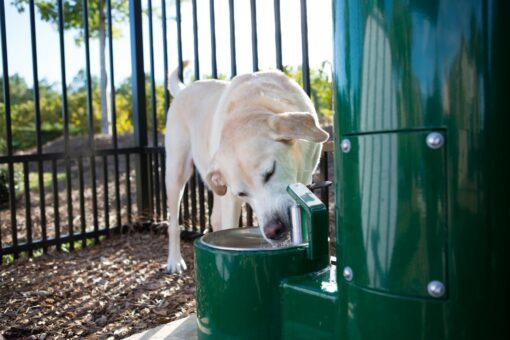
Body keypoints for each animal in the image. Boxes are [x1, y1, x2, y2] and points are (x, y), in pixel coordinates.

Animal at [165, 61, 328, 274]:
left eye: (270, 172)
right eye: (242, 193)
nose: (274, 230)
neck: (254, 105)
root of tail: (185, 89)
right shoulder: (231, 199)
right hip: (177, 172)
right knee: (173, 223)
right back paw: (174, 260)